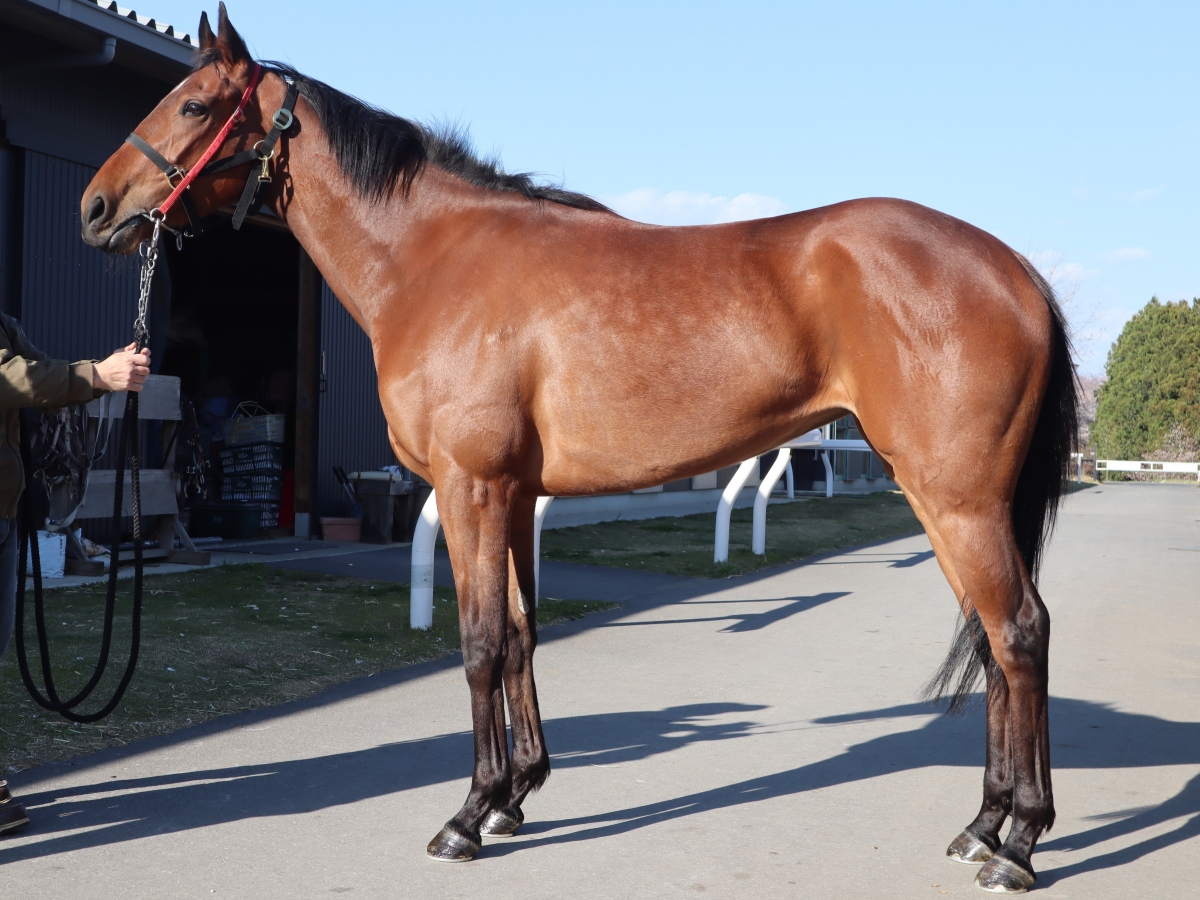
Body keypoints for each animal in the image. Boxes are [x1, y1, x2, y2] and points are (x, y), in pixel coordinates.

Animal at [79, 6, 1076, 893]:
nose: (95, 207)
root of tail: (1016, 271)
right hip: (946, 501)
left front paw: (467, 816)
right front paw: (515, 796)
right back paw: (983, 824)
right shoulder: (516, 494)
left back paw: (1020, 842)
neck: (433, 260)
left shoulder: (473, 487)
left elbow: (480, 641)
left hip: (958, 499)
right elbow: (522, 635)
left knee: (1019, 631)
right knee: (993, 638)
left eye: (194, 106)